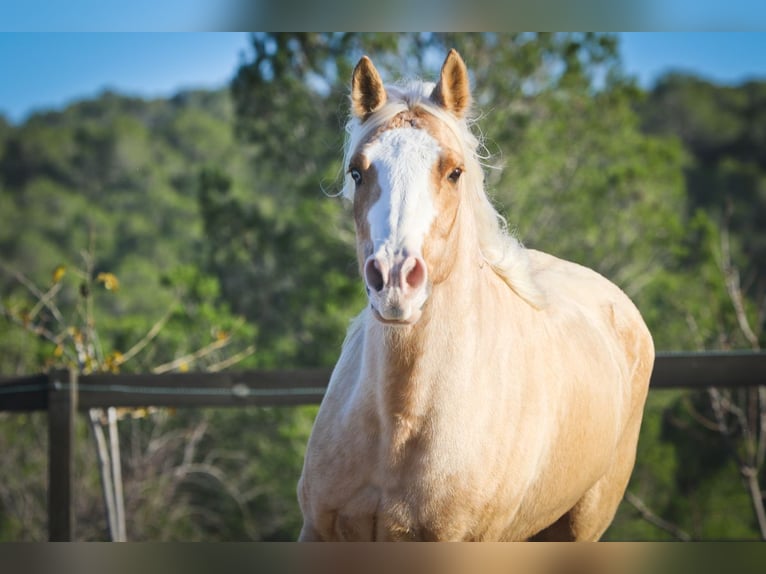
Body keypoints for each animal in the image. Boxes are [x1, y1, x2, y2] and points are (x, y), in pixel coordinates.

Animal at [296, 50, 656, 544]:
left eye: (454, 172)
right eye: (357, 171)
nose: (395, 279)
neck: (400, 420)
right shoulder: (317, 531)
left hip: (579, 526)